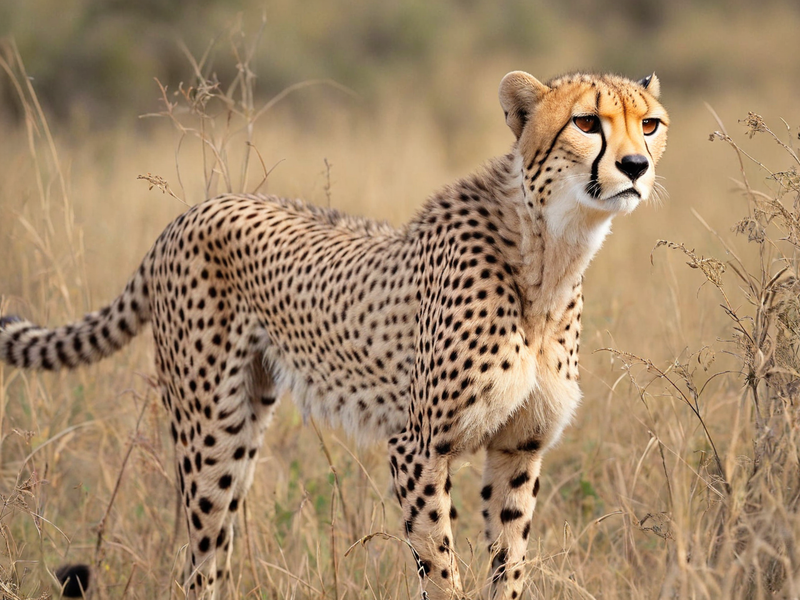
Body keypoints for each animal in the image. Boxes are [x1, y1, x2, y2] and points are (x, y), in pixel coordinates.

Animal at [0, 70, 668, 599]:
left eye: (650, 124)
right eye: (586, 122)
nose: (637, 166)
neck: (549, 255)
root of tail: (191, 211)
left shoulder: (518, 447)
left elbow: (509, 563)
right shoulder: (416, 445)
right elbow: (439, 564)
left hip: (247, 417)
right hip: (211, 430)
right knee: (201, 559)